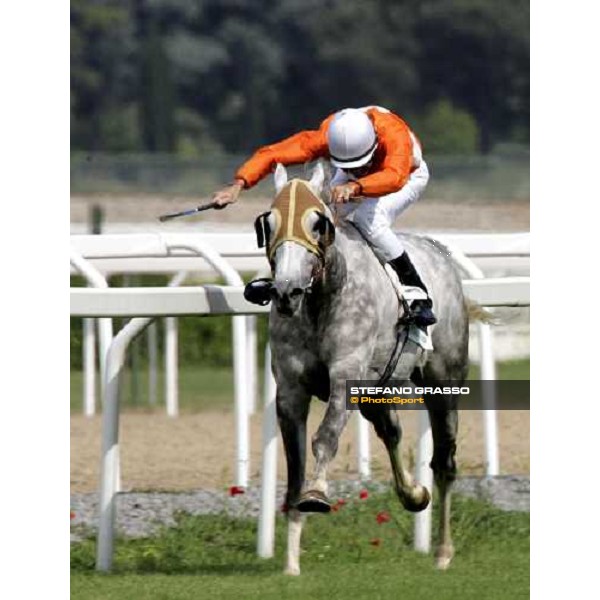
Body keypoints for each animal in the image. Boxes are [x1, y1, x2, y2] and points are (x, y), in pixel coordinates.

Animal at [260, 162, 472, 576]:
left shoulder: (344, 376)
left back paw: (442, 550)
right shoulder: (291, 389)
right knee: (391, 431)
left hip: (443, 381)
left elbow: (325, 437)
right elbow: (294, 465)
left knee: (444, 462)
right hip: (377, 389)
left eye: (318, 223)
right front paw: (291, 561)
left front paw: (316, 494)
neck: (323, 297)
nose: (286, 292)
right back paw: (413, 494)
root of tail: (439, 252)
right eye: (269, 222)